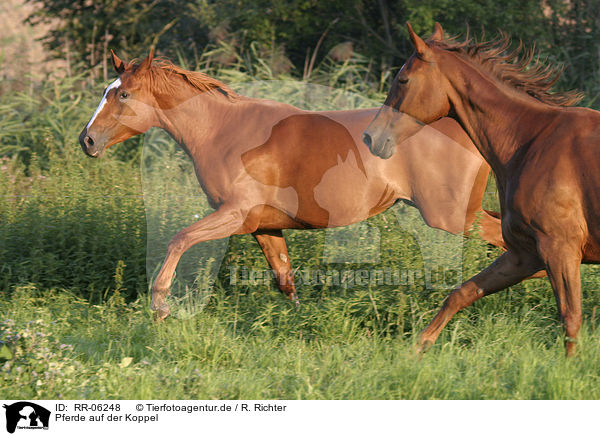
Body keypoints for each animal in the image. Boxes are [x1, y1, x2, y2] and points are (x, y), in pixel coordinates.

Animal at [77, 50, 504, 320]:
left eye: (124, 93)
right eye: (105, 91)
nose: (87, 140)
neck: (223, 132)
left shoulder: (234, 215)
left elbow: (179, 239)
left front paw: (161, 306)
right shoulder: (264, 227)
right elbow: (285, 281)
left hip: (451, 215)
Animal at [360, 22, 596, 354]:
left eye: (403, 79)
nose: (371, 137)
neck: (532, 141)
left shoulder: (559, 248)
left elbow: (570, 319)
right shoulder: (525, 254)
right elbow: (461, 293)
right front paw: (417, 351)